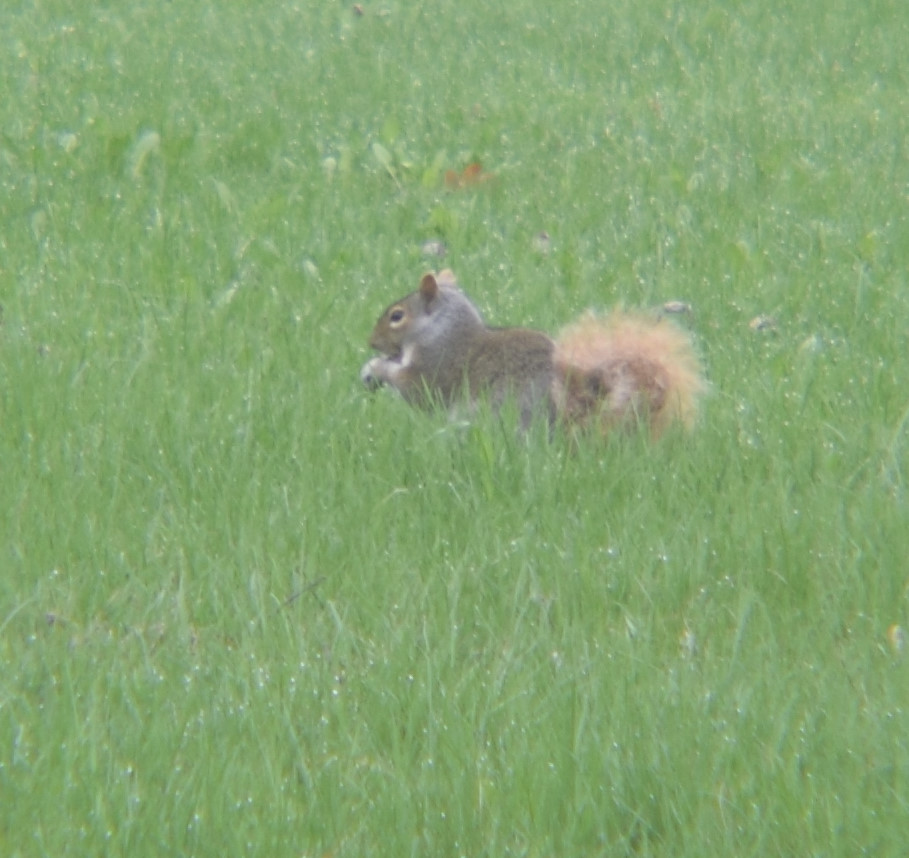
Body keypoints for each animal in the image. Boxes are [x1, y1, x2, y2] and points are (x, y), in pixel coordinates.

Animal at [358, 268, 704, 438]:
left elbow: (416, 390)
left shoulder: (437, 363)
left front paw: (375, 368)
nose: (371, 341)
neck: (444, 327)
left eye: (397, 316)